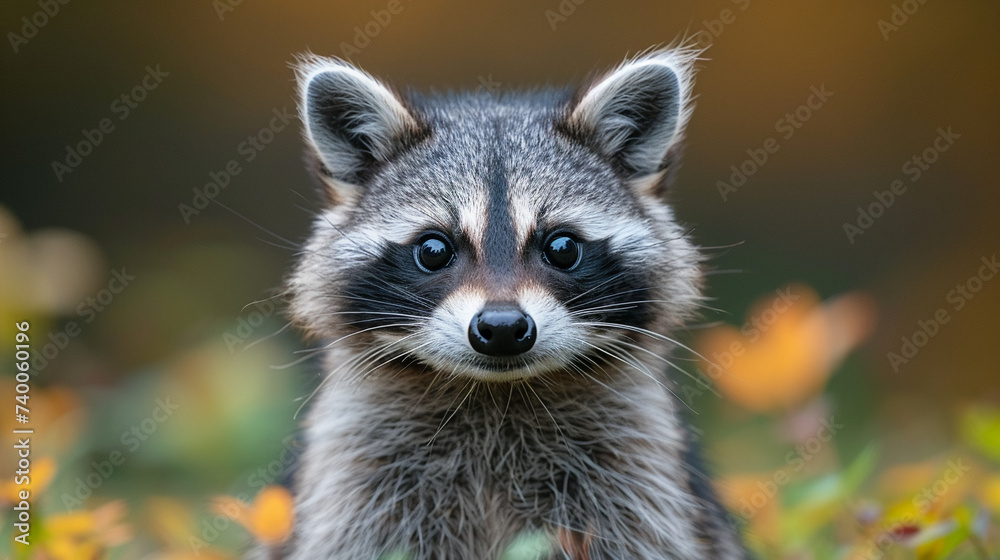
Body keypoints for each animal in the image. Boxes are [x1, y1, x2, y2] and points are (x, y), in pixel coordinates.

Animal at [265, 47, 745, 559]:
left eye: (562, 248)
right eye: (433, 250)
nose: (501, 327)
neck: (494, 394)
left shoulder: (638, 475)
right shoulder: (354, 478)